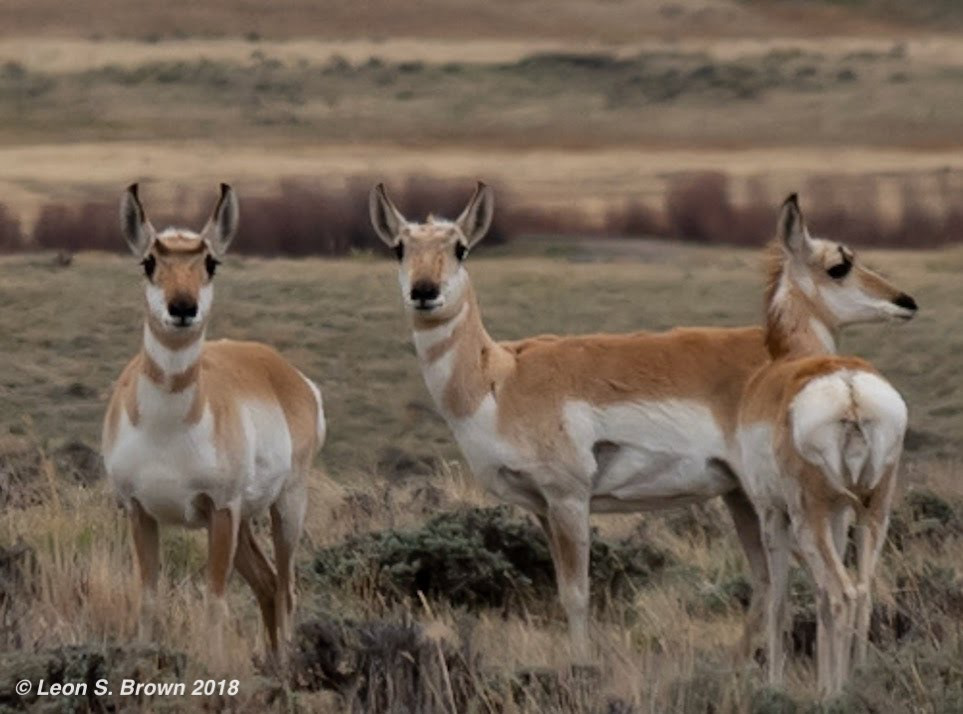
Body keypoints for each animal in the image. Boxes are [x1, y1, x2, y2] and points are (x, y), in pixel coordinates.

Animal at [102, 184, 325, 662]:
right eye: (149, 261)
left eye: (211, 262)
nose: (183, 307)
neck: (166, 430)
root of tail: (283, 370)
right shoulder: (139, 511)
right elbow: (148, 599)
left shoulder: (221, 509)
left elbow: (214, 599)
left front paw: (214, 668)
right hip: (244, 524)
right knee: (267, 583)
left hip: (286, 508)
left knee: (286, 588)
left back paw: (287, 663)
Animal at [736, 194, 916, 696]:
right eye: (840, 265)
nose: (906, 301)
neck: (799, 357)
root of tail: (849, 388)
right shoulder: (839, 515)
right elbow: (815, 598)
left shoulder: (772, 514)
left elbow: (779, 599)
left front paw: (777, 684)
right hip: (874, 510)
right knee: (863, 591)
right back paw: (857, 680)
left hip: (809, 516)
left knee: (841, 591)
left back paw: (835, 692)